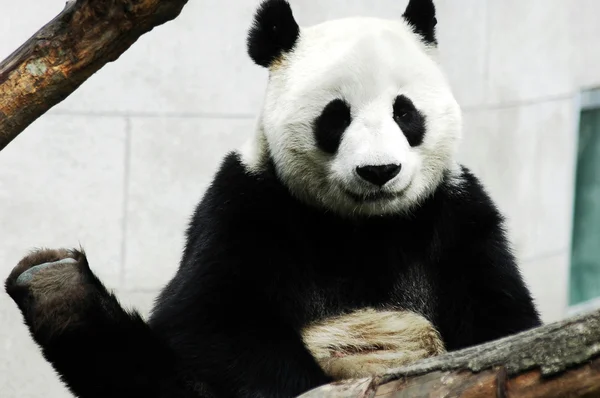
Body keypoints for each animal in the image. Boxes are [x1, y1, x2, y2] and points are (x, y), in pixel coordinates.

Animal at [4, 0, 540, 398]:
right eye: (336, 116)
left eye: (404, 112)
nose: (378, 172)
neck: (365, 226)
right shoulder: (247, 202)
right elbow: (209, 318)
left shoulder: (458, 217)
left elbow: (504, 322)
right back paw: (56, 288)